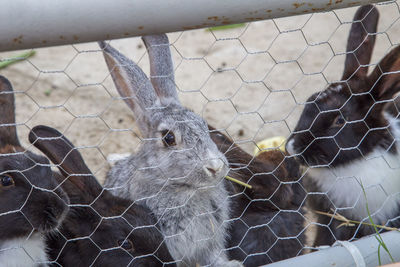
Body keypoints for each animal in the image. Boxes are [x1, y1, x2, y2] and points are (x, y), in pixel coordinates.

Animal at [100, 35, 244, 266]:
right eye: (169, 138)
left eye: (204, 125)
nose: (215, 167)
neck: (183, 188)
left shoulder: (209, 244)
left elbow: (214, 257)